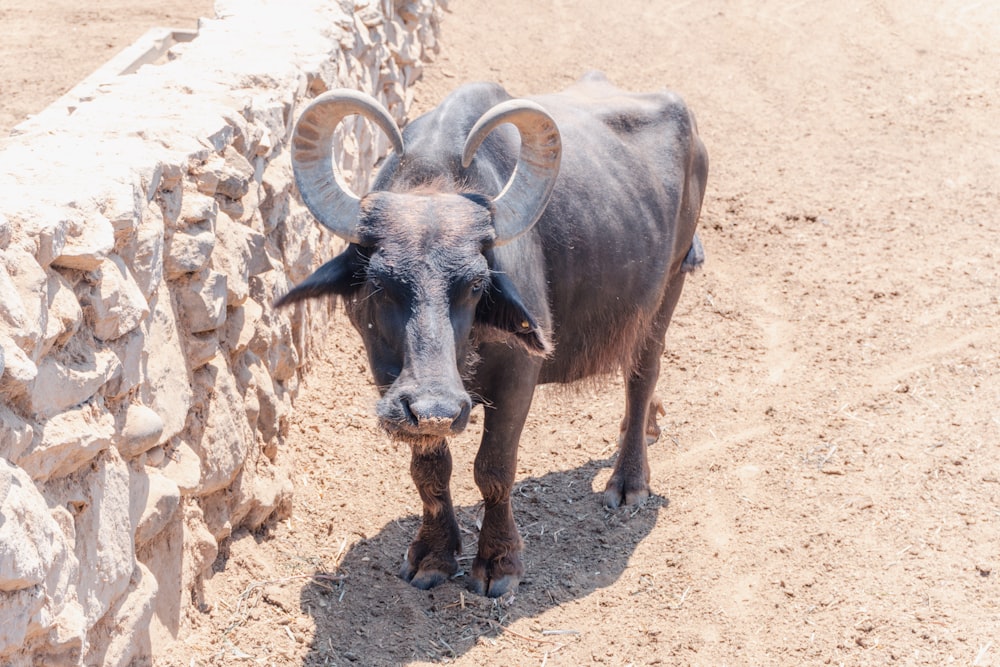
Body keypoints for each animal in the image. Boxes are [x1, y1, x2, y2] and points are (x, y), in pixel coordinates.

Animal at [278, 70, 708, 596]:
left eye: (476, 284)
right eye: (378, 283)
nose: (437, 408)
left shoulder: (520, 377)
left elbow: (494, 468)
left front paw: (499, 563)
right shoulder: (390, 380)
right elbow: (430, 469)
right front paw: (433, 555)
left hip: (669, 285)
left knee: (642, 373)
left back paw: (628, 481)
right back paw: (644, 426)